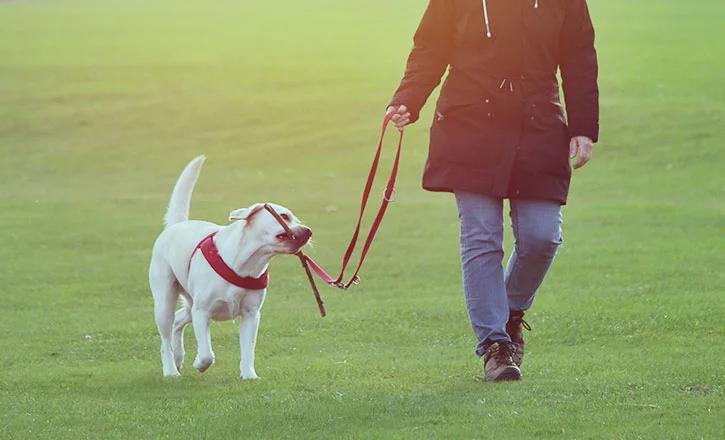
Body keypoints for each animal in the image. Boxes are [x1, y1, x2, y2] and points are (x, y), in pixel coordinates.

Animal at [150, 156, 312, 380]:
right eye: (285, 216)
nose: (309, 231)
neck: (245, 263)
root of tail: (176, 225)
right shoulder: (202, 312)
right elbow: (207, 353)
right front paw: (199, 363)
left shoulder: (251, 315)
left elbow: (248, 349)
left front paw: (249, 376)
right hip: (165, 301)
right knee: (165, 337)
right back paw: (170, 369)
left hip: (190, 305)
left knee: (178, 321)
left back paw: (179, 358)